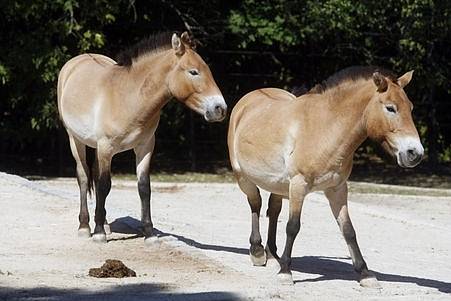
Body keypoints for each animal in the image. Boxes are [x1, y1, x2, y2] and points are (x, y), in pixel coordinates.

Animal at [57, 31, 228, 241]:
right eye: (193, 72)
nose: (220, 108)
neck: (129, 97)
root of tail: (75, 62)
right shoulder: (106, 148)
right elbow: (105, 185)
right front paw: (98, 233)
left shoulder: (144, 147)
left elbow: (144, 187)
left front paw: (148, 232)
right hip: (76, 140)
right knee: (83, 177)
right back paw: (84, 226)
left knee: (95, 177)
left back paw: (104, 223)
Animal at [230, 66, 424, 286]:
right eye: (391, 108)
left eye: (410, 107)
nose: (415, 153)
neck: (325, 128)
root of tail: (250, 97)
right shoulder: (298, 185)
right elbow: (292, 226)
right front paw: (286, 272)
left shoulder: (337, 189)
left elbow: (348, 230)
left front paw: (365, 274)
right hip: (243, 178)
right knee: (255, 204)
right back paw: (257, 251)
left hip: (278, 185)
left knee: (273, 210)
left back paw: (272, 256)